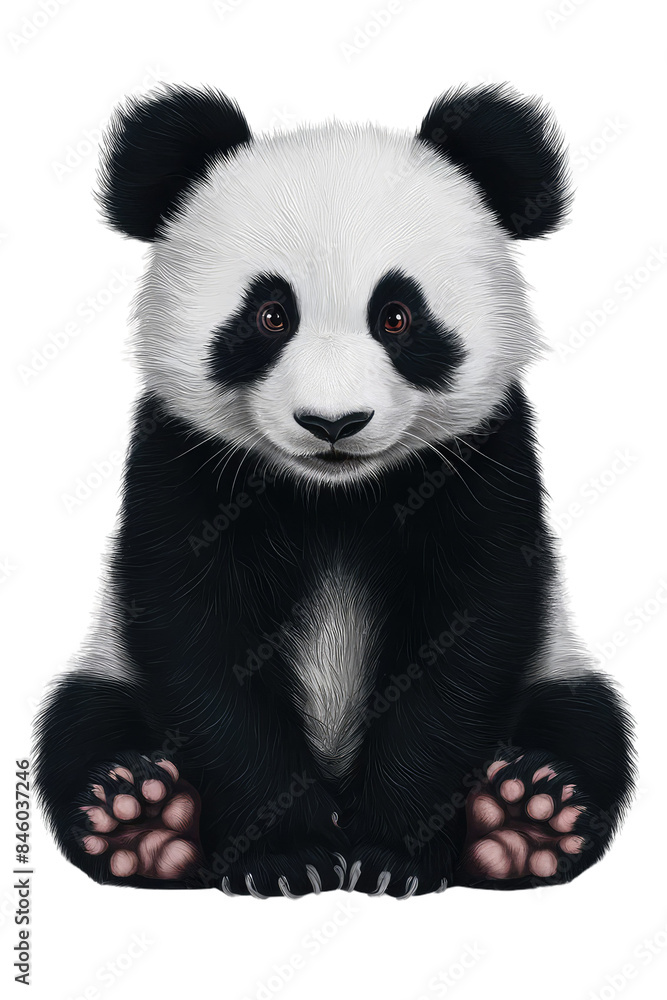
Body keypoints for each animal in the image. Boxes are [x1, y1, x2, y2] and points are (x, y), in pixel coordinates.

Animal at [34, 83, 635, 899]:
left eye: (397, 316)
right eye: (269, 315)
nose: (332, 422)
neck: (334, 497)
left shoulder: (482, 459)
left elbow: (468, 633)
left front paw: (391, 855)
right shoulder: (182, 460)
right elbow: (197, 632)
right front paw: (287, 857)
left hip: (557, 661)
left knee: (586, 723)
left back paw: (523, 820)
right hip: (109, 666)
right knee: (80, 723)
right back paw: (143, 820)